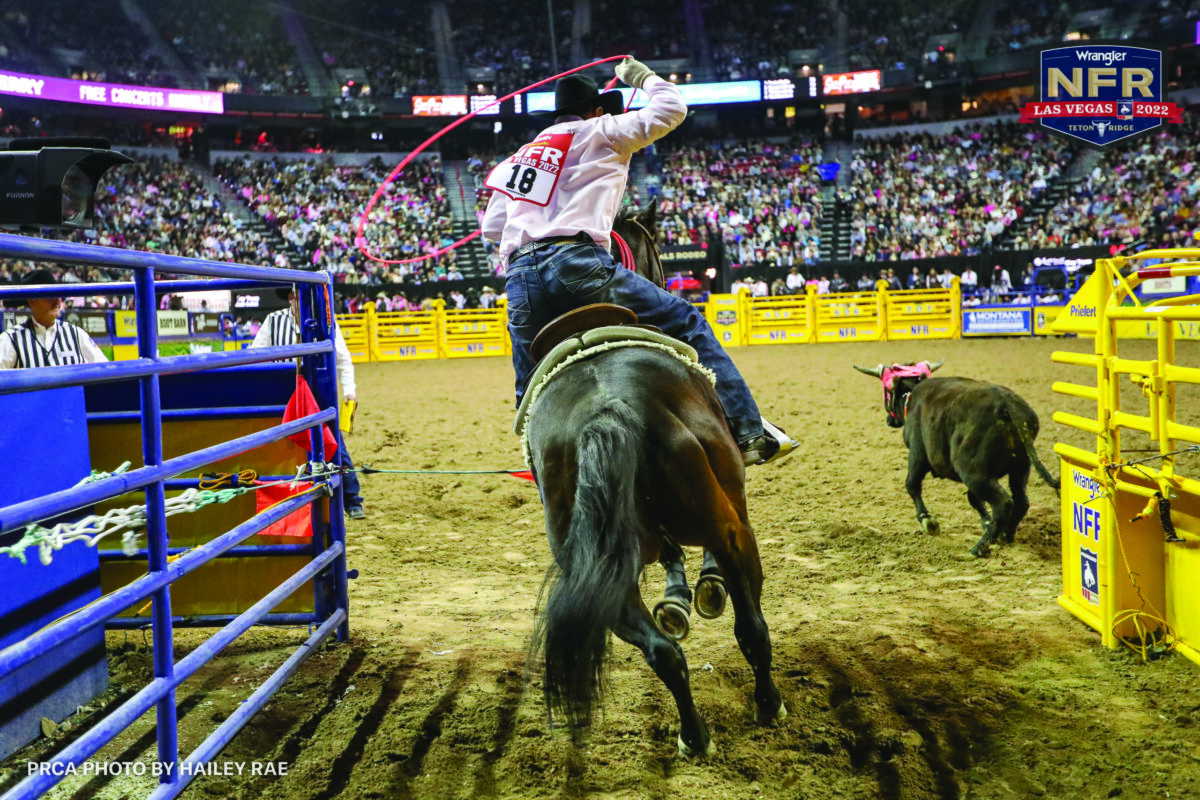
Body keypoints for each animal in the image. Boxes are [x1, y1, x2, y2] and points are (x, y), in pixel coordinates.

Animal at [525, 206, 787, 758]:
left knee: (663, 653)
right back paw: (767, 704)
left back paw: (694, 735)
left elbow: (669, 559)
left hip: (597, 573)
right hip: (728, 527)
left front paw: (679, 598)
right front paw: (702, 589)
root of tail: (606, 407)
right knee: (751, 629)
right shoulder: (728, 510)